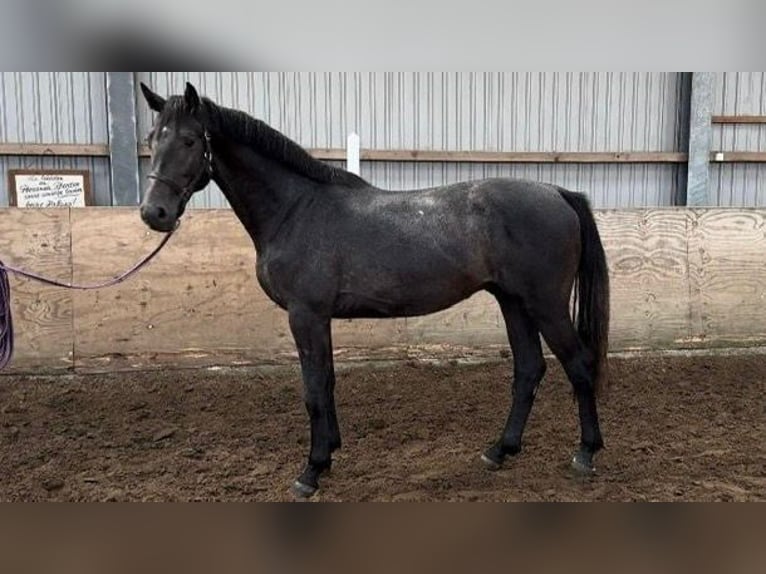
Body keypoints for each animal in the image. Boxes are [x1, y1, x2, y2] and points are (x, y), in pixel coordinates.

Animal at [141, 82, 616, 500]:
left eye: (188, 140)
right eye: (151, 138)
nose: (153, 213)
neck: (296, 210)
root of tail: (558, 192)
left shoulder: (305, 315)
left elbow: (314, 389)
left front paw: (311, 471)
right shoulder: (318, 319)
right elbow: (327, 381)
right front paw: (329, 453)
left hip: (546, 304)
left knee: (578, 365)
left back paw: (586, 454)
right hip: (512, 301)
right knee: (529, 369)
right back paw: (500, 451)